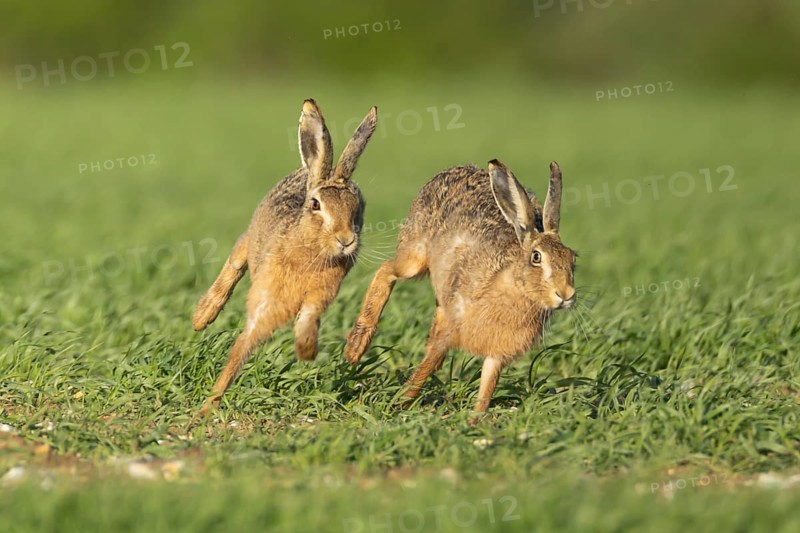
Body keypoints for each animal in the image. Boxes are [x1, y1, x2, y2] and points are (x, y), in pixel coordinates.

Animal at [194, 99, 377, 415]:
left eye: (359, 207)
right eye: (316, 205)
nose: (346, 240)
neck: (310, 250)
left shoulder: (320, 294)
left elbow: (308, 317)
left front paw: (307, 349)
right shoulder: (266, 298)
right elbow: (241, 349)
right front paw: (207, 407)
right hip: (251, 237)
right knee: (236, 261)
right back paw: (202, 317)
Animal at [344, 159, 576, 424]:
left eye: (573, 259)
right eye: (536, 258)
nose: (566, 295)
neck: (514, 287)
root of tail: (455, 169)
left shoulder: (497, 354)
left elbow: (487, 386)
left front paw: (475, 422)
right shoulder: (452, 329)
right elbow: (428, 364)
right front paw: (398, 404)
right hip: (414, 256)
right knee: (387, 270)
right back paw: (356, 347)